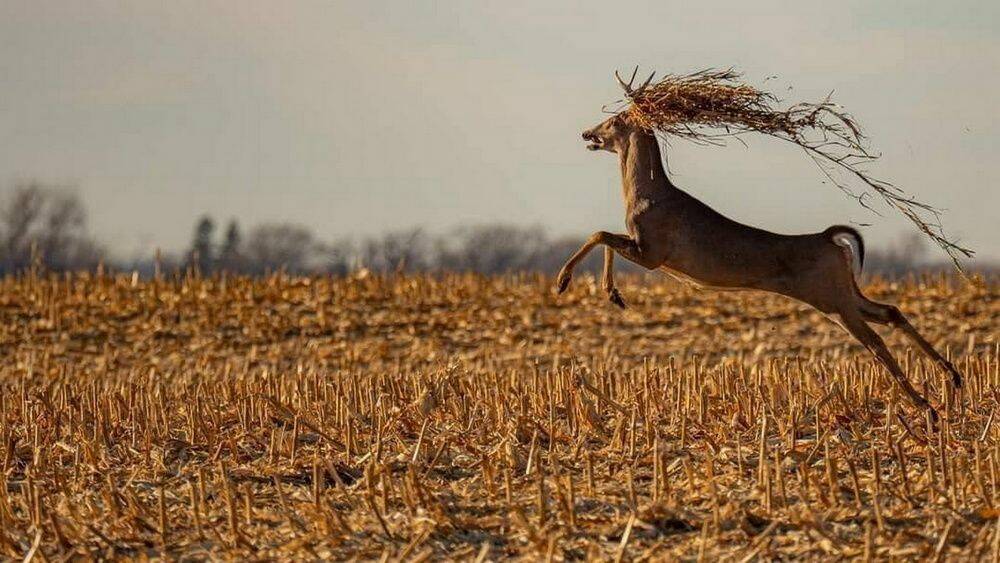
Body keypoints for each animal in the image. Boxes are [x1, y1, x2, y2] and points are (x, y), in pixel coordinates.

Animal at [560, 71, 964, 424]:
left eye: (614, 120)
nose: (587, 133)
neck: (646, 193)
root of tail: (828, 237)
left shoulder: (653, 251)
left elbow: (599, 234)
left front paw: (568, 281)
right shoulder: (647, 251)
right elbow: (604, 238)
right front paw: (612, 294)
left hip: (830, 295)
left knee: (875, 340)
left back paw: (928, 407)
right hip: (841, 292)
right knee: (890, 312)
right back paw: (952, 377)